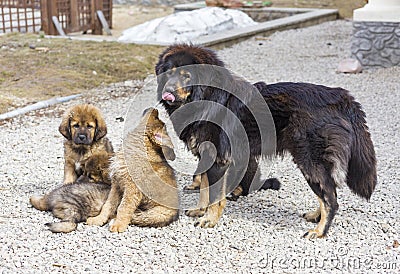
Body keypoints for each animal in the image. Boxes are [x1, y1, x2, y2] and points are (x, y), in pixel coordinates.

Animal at [155, 44, 376, 239]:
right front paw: (200, 210)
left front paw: (209, 219)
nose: (168, 91)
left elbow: (215, 195)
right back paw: (316, 217)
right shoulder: (207, 158)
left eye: (187, 75)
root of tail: (341, 97)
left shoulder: (218, 159)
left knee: (330, 199)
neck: (208, 96)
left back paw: (320, 232)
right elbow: (204, 188)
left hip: (309, 162)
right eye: (168, 73)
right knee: (329, 193)